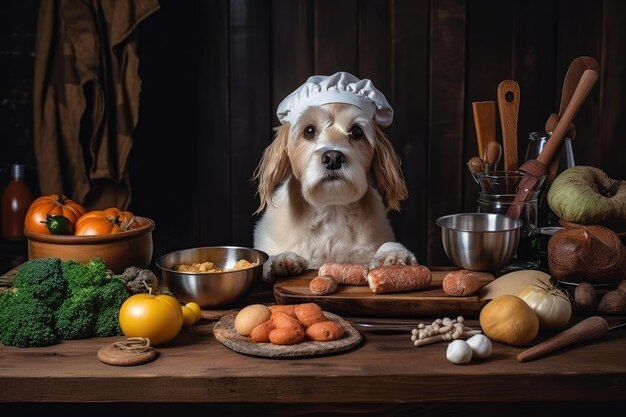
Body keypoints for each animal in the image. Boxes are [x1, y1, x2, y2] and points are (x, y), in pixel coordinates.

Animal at [249, 71, 414, 282]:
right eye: (309, 130)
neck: (331, 211)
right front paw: (281, 260)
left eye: (357, 131)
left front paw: (393, 254)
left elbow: (387, 247)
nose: (333, 158)